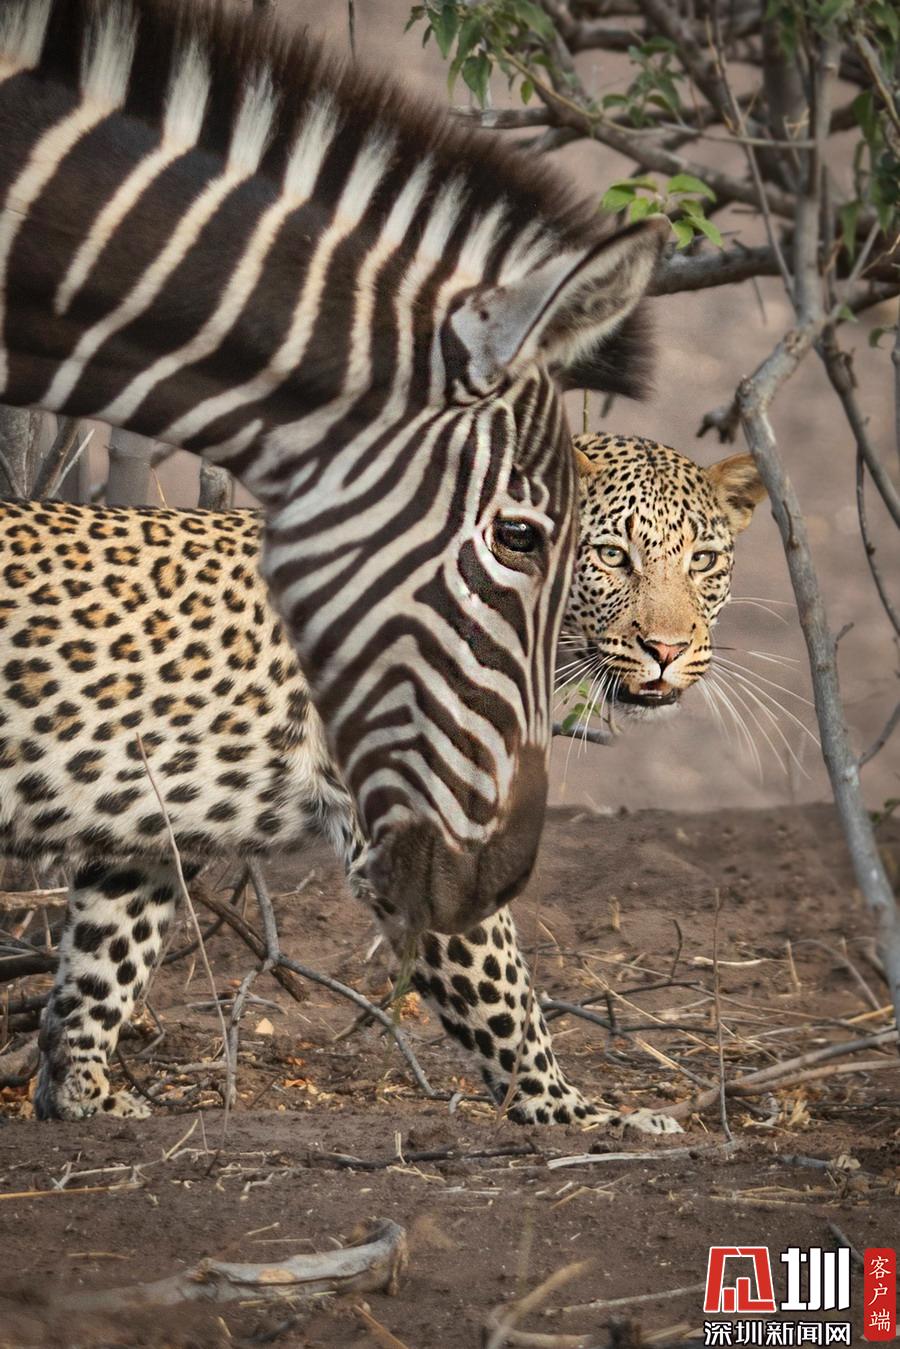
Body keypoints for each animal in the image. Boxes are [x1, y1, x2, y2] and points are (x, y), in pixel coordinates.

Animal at [0, 432, 765, 1128]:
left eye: (702, 560)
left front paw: (79, 1094)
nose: (667, 649)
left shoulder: (150, 825)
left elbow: (105, 958)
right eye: (611, 556)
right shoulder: (425, 828)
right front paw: (572, 1112)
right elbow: (505, 997)